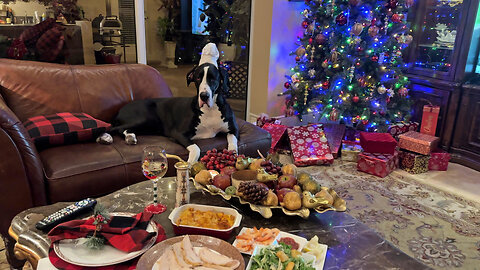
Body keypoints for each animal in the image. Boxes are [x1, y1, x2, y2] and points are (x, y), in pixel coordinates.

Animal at [98, 43, 239, 163]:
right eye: (198, 78)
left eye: (213, 78)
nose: (204, 96)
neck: (210, 110)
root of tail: (121, 109)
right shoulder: (179, 133)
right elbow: (196, 148)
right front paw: (190, 163)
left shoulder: (233, 129)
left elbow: (233, 143)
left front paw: (233, 156)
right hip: (145, 118)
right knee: (114, 127)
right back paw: (105, 138)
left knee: (122, 129)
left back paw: (130, 137)